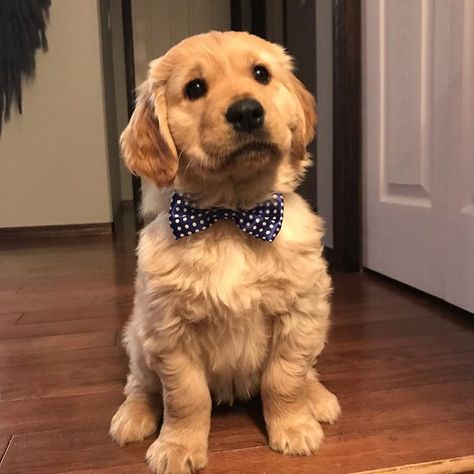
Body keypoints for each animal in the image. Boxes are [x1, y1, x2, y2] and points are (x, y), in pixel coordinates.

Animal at [110, 30, 340, 474]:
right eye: (195, 88)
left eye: (261, 74)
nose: (247, 111)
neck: (231, 216)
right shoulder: (170, 331)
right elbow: (186, 397)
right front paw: (178, 446)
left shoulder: (299, 311)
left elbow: (284, 379)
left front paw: (294, 427)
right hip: (139, 339)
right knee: (141, 384)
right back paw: (133, 416)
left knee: (307, 370)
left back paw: (318, 397)